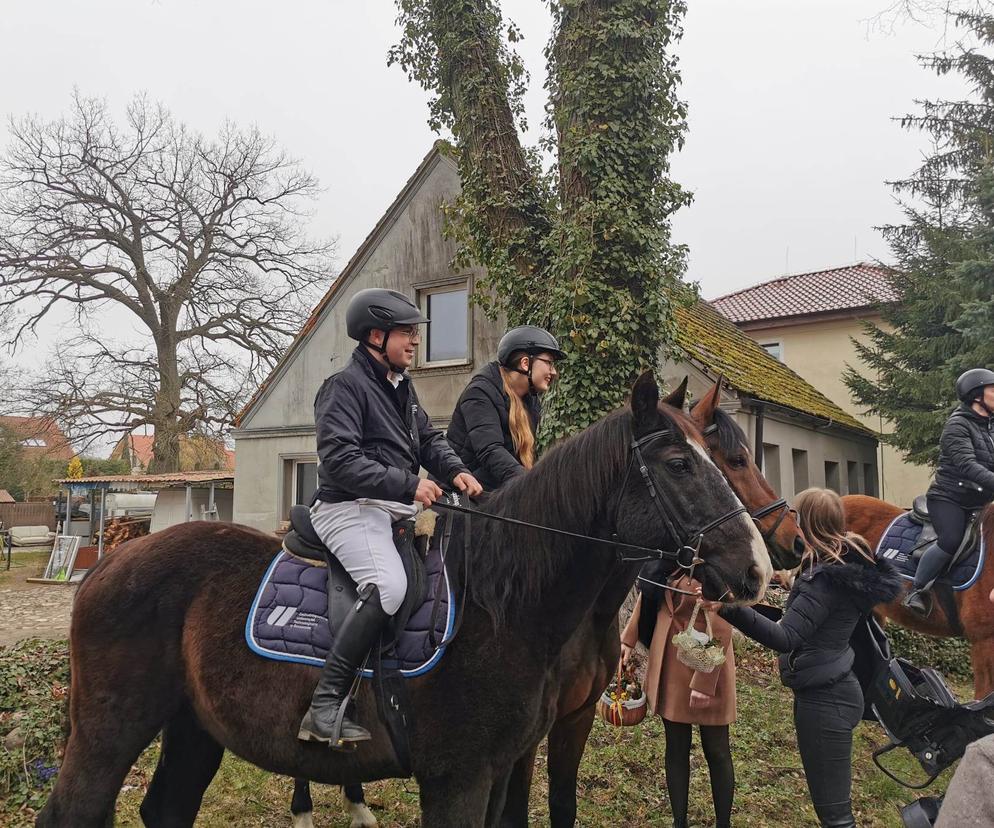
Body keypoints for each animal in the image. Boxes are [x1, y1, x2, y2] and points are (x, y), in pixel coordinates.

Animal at [38, 376, 772, 828]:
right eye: (681, 464)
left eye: (722, 457)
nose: (761, 566)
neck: (501, 605)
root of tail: (113, 561)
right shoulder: (458, 778)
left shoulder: (505, 766)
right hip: (109, 733)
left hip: (193, 727)